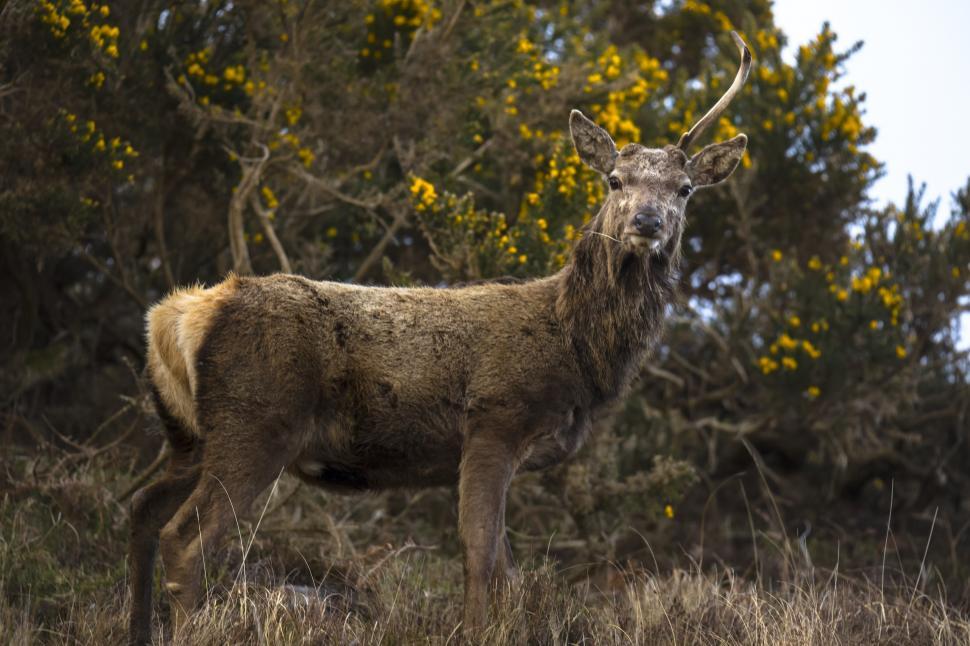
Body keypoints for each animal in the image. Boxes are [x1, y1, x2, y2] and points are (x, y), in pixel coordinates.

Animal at [127, 32, 751, 644]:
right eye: (615, 179)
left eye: (685, 189)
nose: (646, 222)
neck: (575, 351)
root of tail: (177, 315)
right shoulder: (495, 419)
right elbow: (480, 557)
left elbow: (505, 570)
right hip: (256, 420)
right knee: (185, 538)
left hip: (189, 435)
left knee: (141, 509)